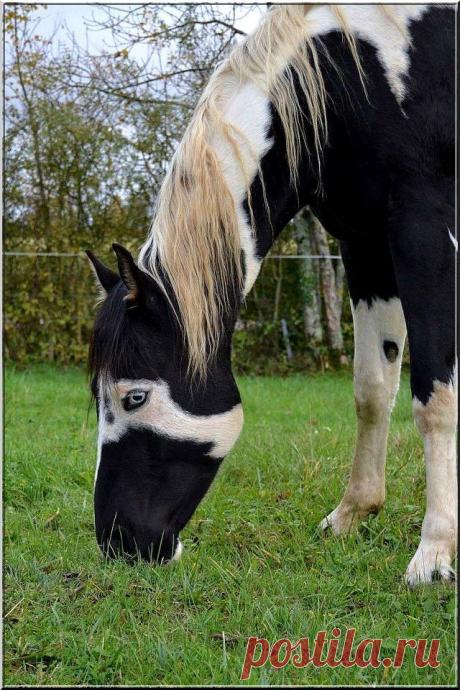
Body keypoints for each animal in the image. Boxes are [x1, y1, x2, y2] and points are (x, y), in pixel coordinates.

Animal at [86, 4, 456, 585]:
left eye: (135, 397)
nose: (118, 543)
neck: (352, 74)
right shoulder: (365, 245)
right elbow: (372, 388)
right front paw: (352, 513)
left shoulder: (424, 230)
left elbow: (434, 396)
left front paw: (435, 551)